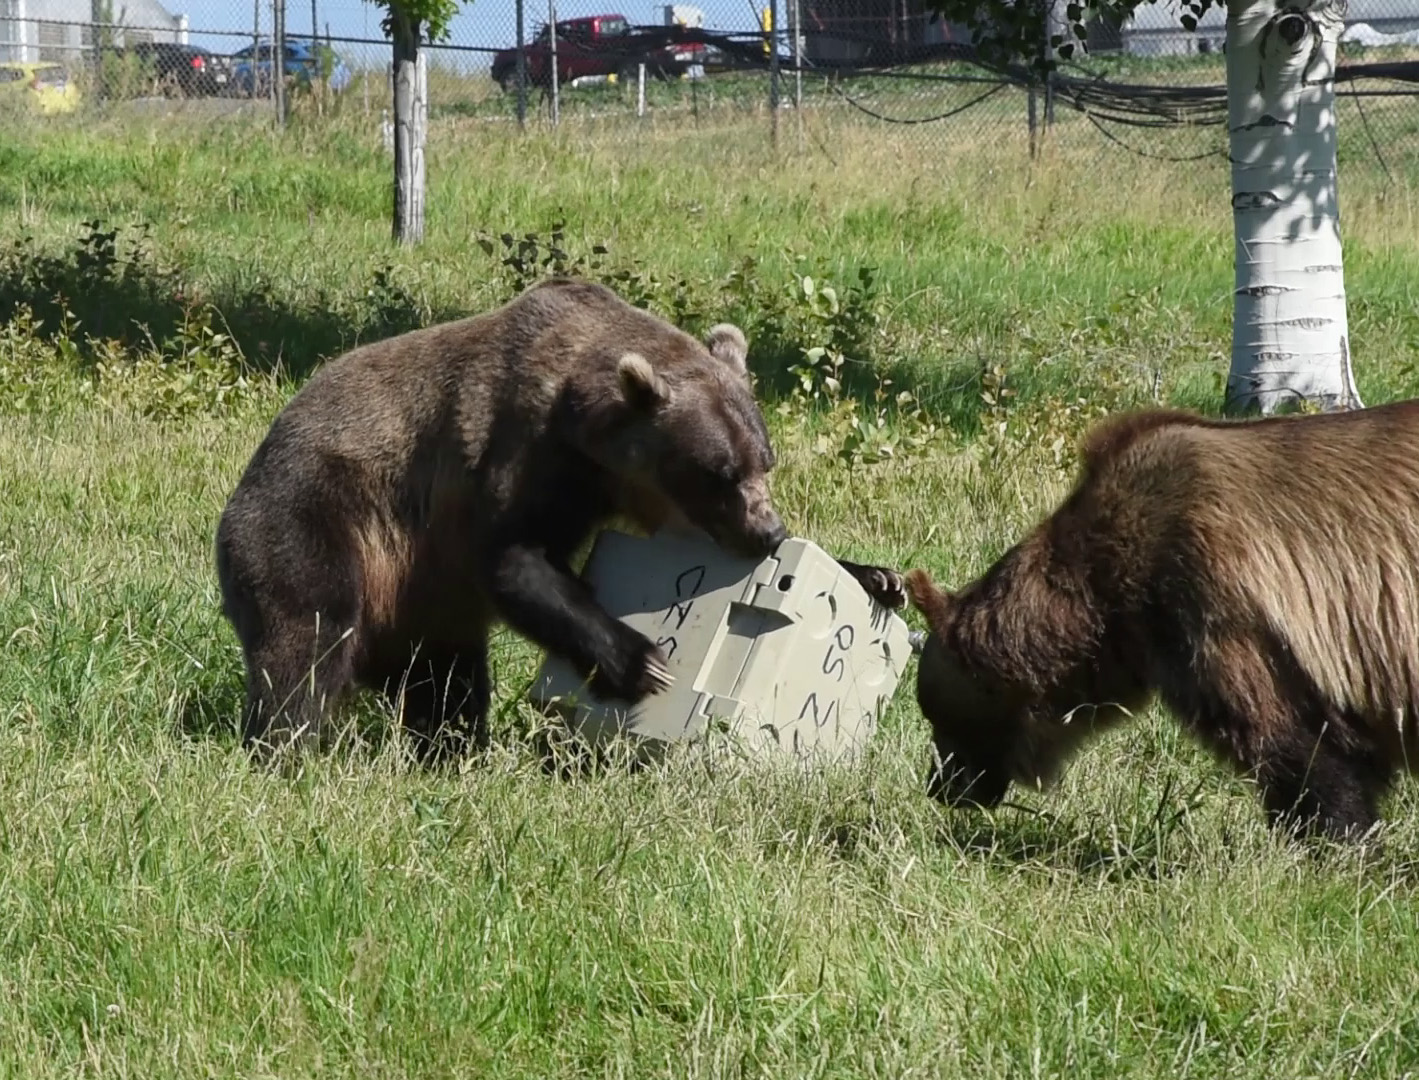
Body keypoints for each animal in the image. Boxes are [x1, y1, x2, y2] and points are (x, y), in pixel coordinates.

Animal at [216, 277, 905, 764]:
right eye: (720, 474)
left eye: (766, 460)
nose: (768, 532)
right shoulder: (526, 455)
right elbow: (515, 559)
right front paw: (643, 660)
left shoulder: (628, 493)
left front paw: (878, 578)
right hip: (320, 516)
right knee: (309, 636)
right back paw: (288, 746)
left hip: (424, 602)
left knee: (445, 679)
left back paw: (449, 748)